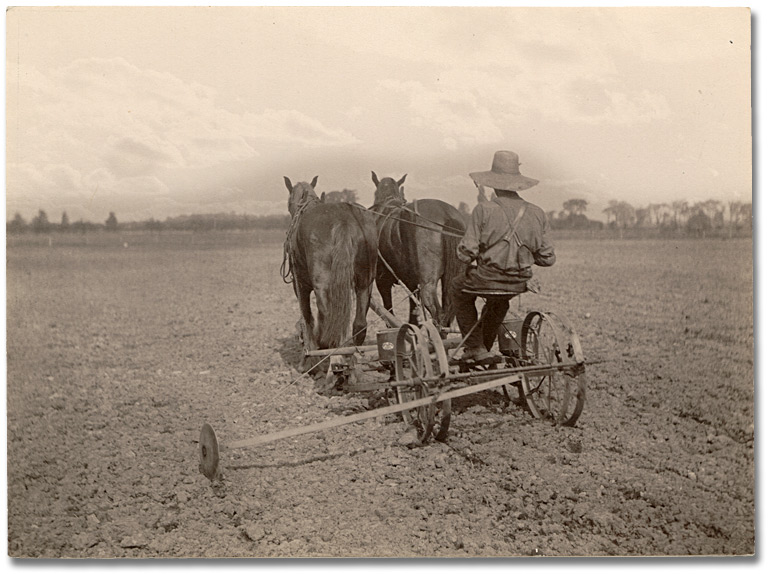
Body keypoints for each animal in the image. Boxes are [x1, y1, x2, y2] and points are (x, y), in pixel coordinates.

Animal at [282, 176, 378, 356]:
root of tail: (343, 221)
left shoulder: (300, 285)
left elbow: (307, 316)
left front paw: (309, 343)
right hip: (365, 280)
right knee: (360, 324)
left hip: (322, 283)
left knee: (326, 315)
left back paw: (324, 345)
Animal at [368, 172, 464, 328]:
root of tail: (446, 215)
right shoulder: (411, 282)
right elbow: (413, 309)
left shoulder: (382, 279)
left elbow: (388, 310)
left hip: (427, 283)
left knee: (437, 313)